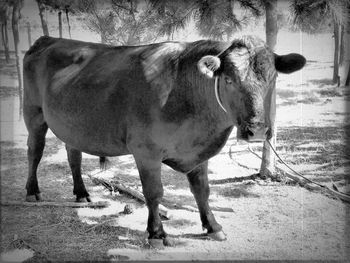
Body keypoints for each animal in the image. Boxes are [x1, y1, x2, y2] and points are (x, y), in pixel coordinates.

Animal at [23, 36, 304, 249]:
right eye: (229, 80)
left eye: (272, 79)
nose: (256, 130)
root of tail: (49, 38)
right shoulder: (146, 151)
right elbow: (154, 192)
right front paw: (156, 233)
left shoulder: (197, 151)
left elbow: (202, 191)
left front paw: (213, 226)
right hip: (33, 113)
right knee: (34, 152)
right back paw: (32, 191)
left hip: (73, 124)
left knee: (74, 155)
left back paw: (81, 193)